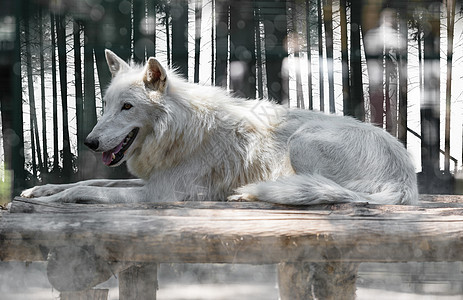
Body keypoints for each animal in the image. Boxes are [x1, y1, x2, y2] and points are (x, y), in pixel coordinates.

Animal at [22, 49, 420, 206]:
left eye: (127, 107)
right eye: (106, 105)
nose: (89, 142)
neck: (180, 129)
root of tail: (404, 178)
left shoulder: (161, 193)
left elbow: (84, 190)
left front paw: (46, 201)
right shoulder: (152, 180)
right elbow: (93, 182)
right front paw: (38, 191)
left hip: (302, 143)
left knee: (323, 191)